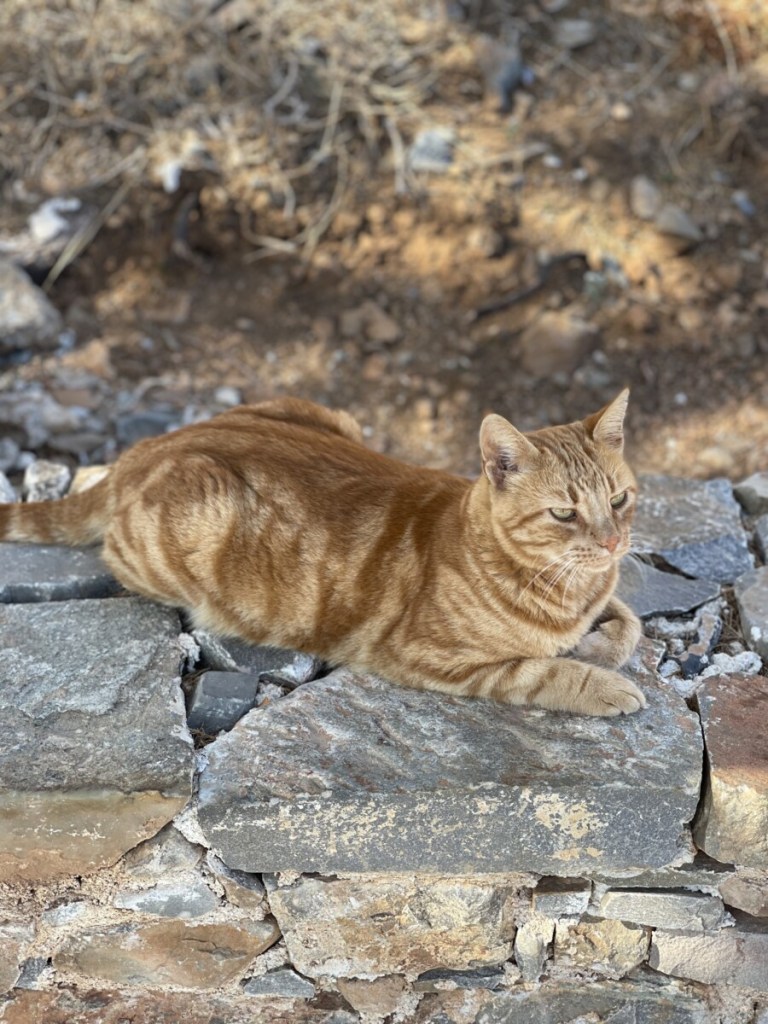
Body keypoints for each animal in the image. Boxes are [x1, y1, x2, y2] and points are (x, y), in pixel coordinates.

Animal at [0, 387, 647, 716]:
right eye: (564, 513)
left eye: (618, 500)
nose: (613, 541)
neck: (566, 590)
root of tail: (147, 447)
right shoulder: (429, 657)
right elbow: (542, 671)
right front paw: (604, 683)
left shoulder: (606, 595)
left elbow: (630, 624)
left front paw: (599, 645)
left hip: (321, 410)